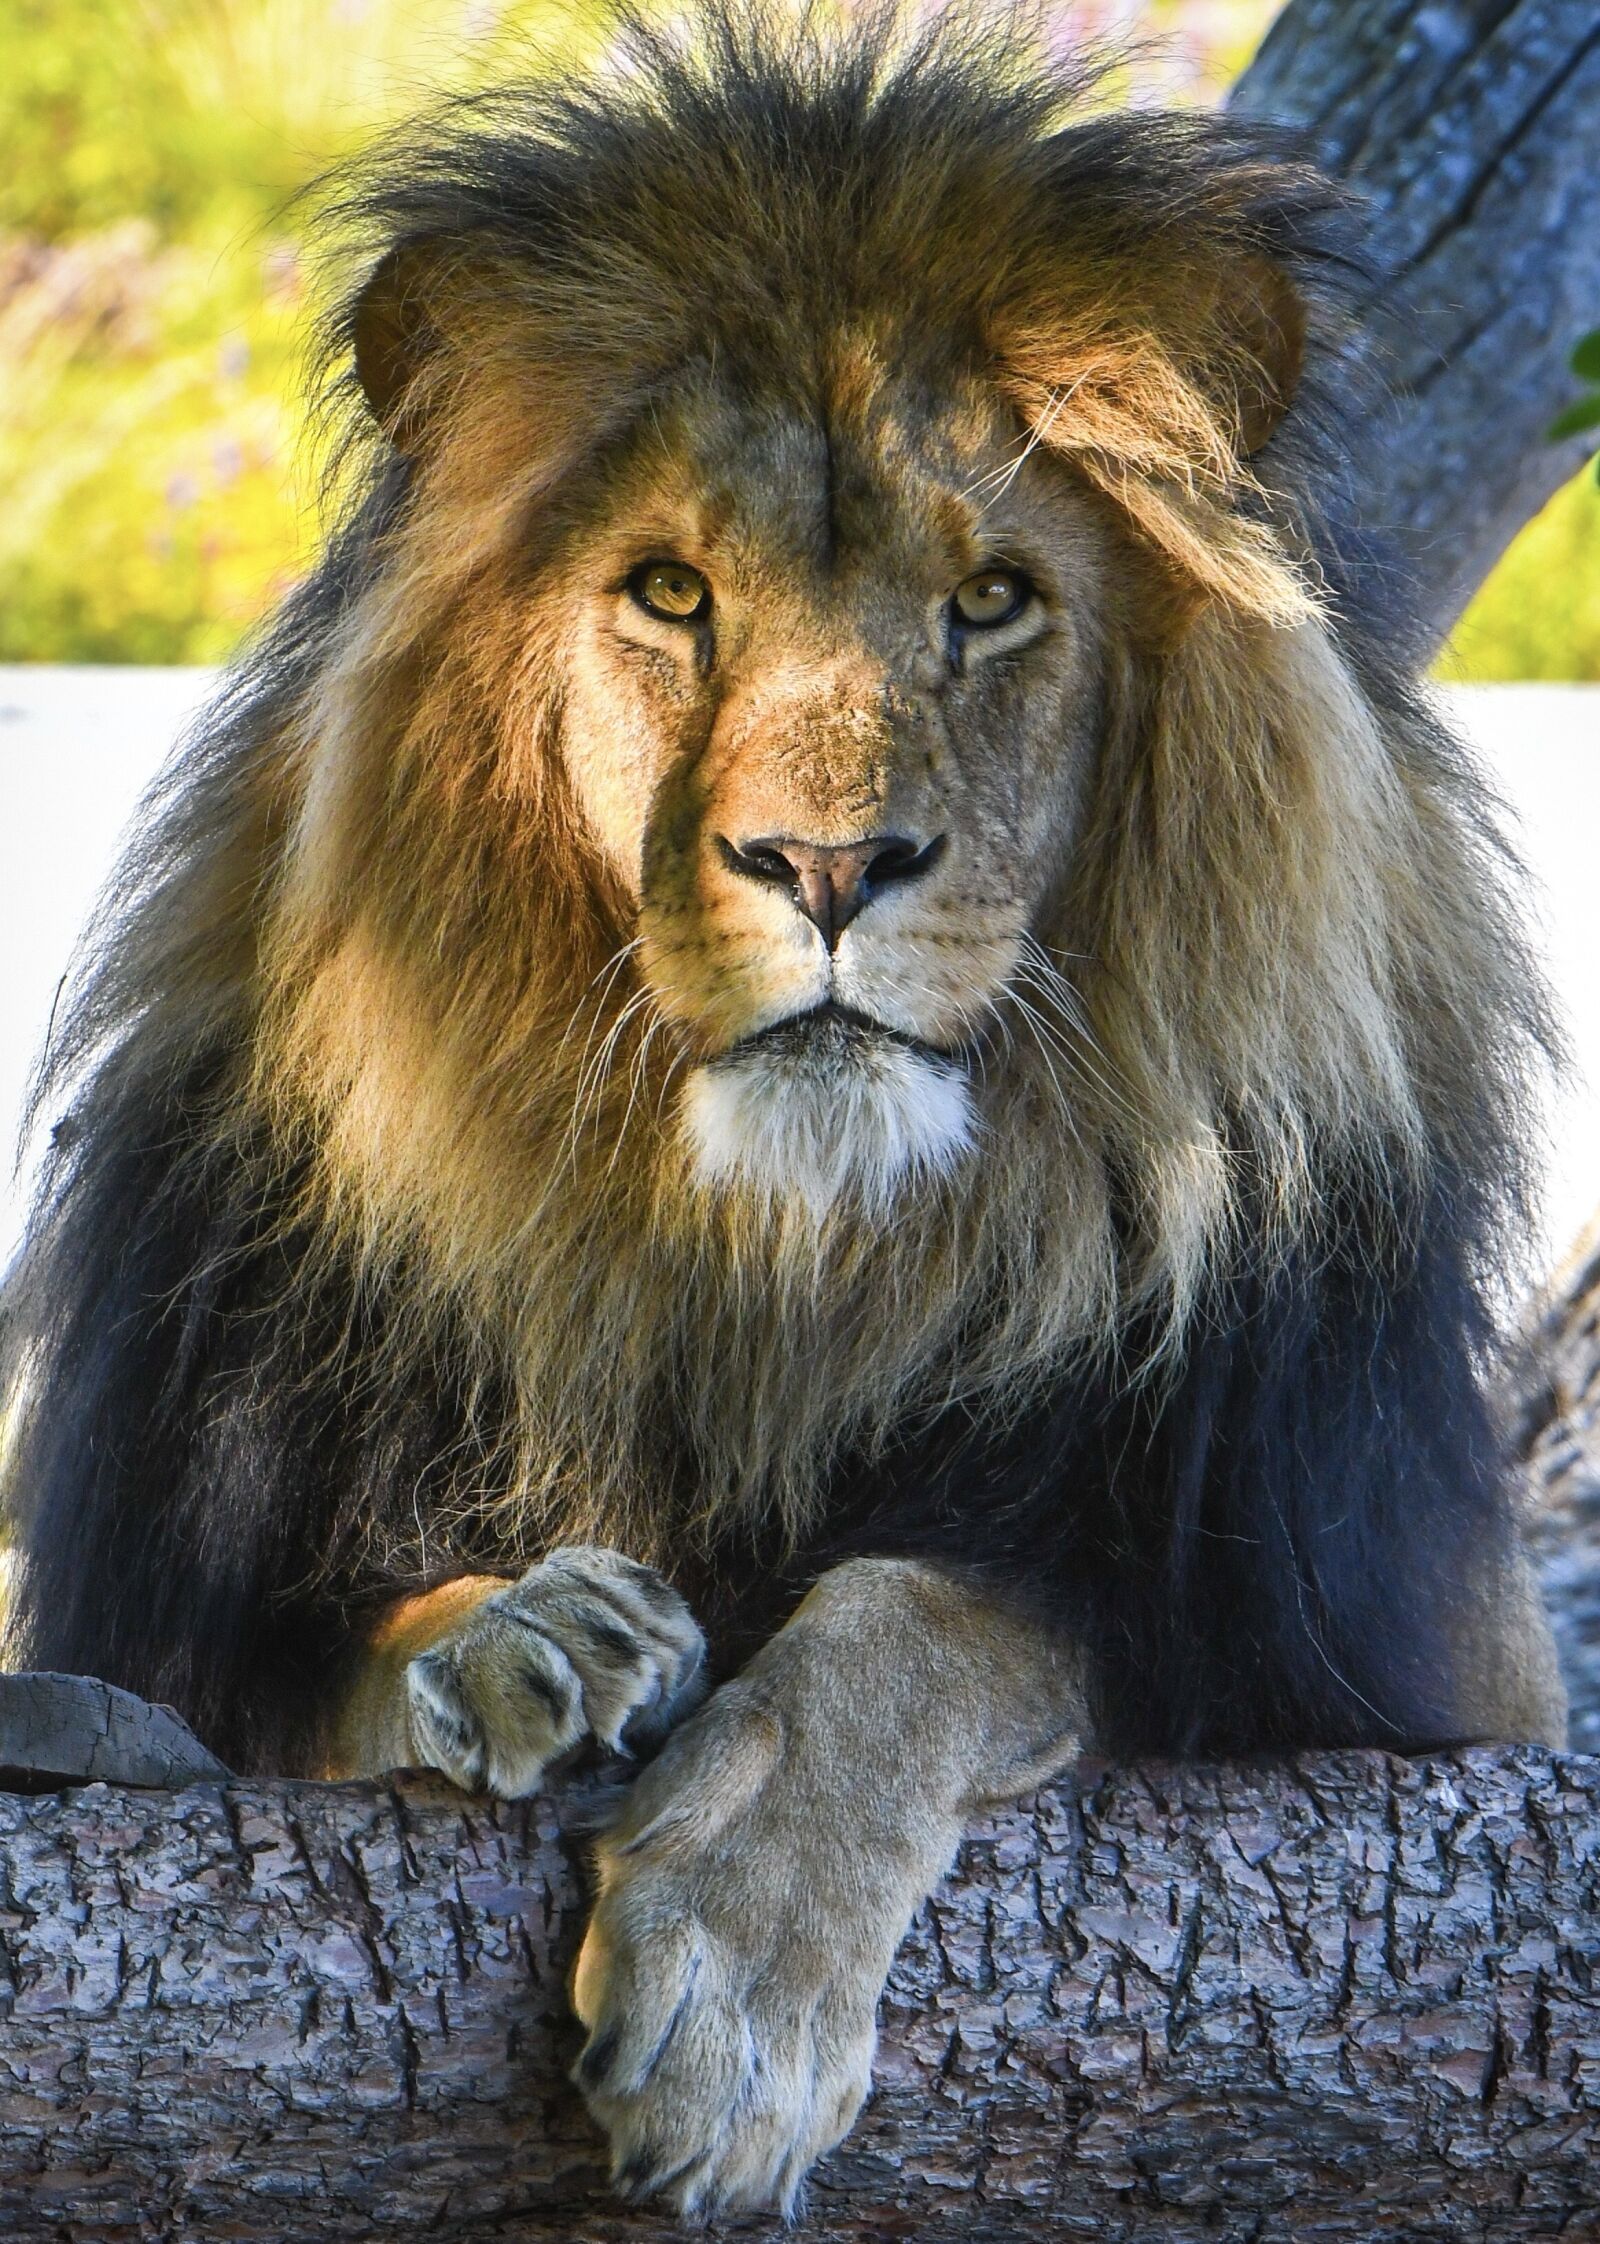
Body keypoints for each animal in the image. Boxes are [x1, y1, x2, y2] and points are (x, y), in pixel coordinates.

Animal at [0, 8, 1567, 2217]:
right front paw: (525, 1638)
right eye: (669, 593)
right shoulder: (179, 1628)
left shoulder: (1336, 1686)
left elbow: (941, 1614)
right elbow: (314, 1669)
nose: (827, 868)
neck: (773, 1262)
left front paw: (737, 1975)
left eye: (991, 601)